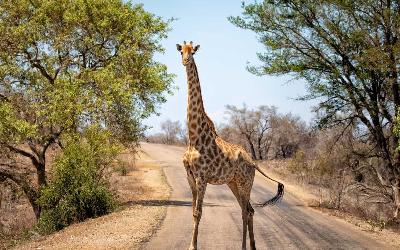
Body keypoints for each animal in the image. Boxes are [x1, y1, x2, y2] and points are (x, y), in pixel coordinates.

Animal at [176, 41, 284, 250]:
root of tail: (253, 162)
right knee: (248, 209)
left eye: (193, 52)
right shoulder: (189, 176)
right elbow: (192, 211)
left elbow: (198, 212)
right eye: (181, 51)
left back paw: (244, 247)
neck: (194, 137)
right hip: (233, 182)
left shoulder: (202, 177)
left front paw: (193, 246)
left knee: (246, 211)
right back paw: (251, 246)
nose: (185, 61)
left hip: (245, 182)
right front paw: (191, 244)